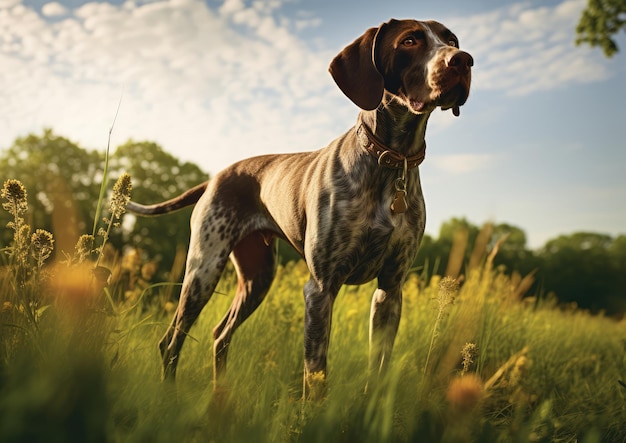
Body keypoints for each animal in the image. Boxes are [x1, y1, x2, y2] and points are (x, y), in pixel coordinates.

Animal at [125, 18, 468, 398]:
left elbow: (378, 369)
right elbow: (316, 376)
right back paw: (169, 395)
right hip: (204, 269)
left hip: (257, 278)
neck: (392, 160)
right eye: (410, 41)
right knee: (171, 340)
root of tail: (215, 177)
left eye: (451, 40)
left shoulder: (390, 290)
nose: (463, 60)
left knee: (220, 335)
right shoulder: (320, 289)